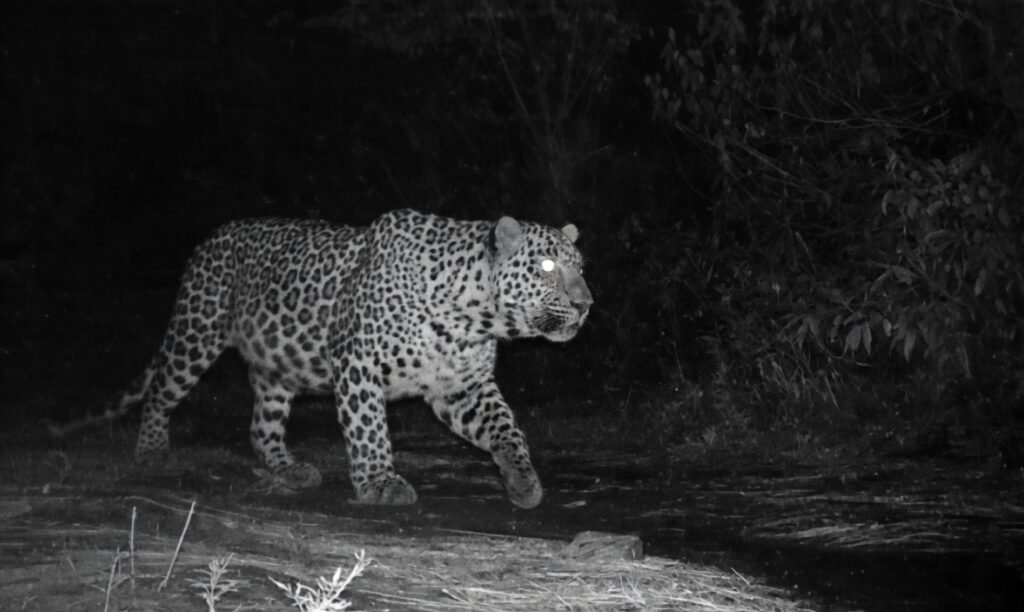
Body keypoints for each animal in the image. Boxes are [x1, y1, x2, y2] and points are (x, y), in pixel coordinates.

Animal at [53, 209, 592, 509]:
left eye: (581, 267)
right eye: (547, 266)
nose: (587, 303)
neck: (474, 315)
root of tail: (210, 239)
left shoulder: (461, 386)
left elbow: (505, 427)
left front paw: (522, 481)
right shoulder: (356, 361)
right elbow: (369, 429)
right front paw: (378, 484)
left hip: (276, 369)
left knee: (261, 427)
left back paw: (289, 470)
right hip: (196, 333)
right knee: (161, 391)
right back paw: (150, 450)